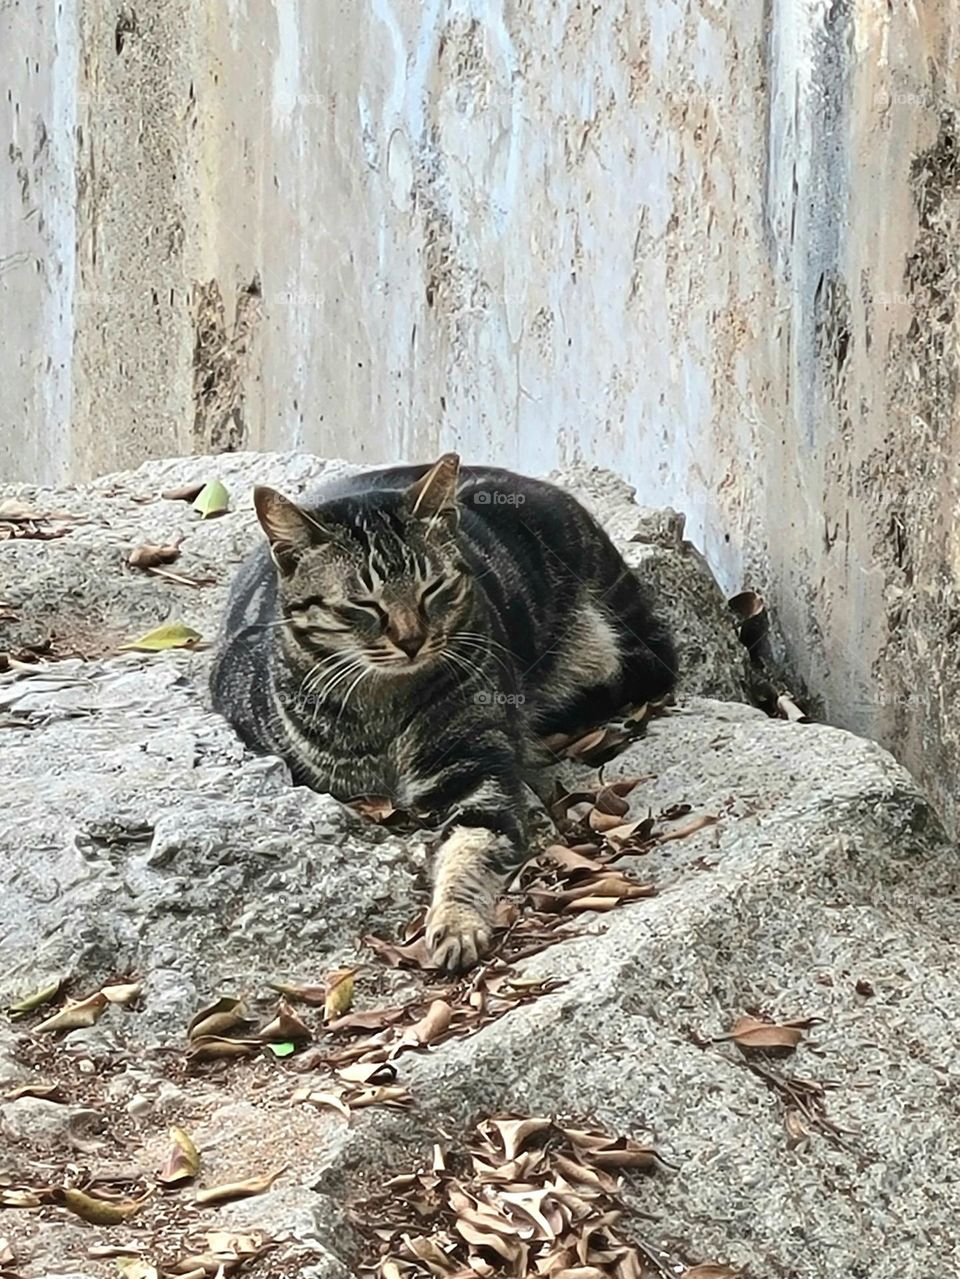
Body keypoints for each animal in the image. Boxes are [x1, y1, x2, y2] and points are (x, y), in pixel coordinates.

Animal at [209, 460, 674, 966]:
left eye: (432, 588)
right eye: (362, 604)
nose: (412, 640)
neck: (382, 708)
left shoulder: (480, 776)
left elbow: (469, 851)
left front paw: (456, 923)